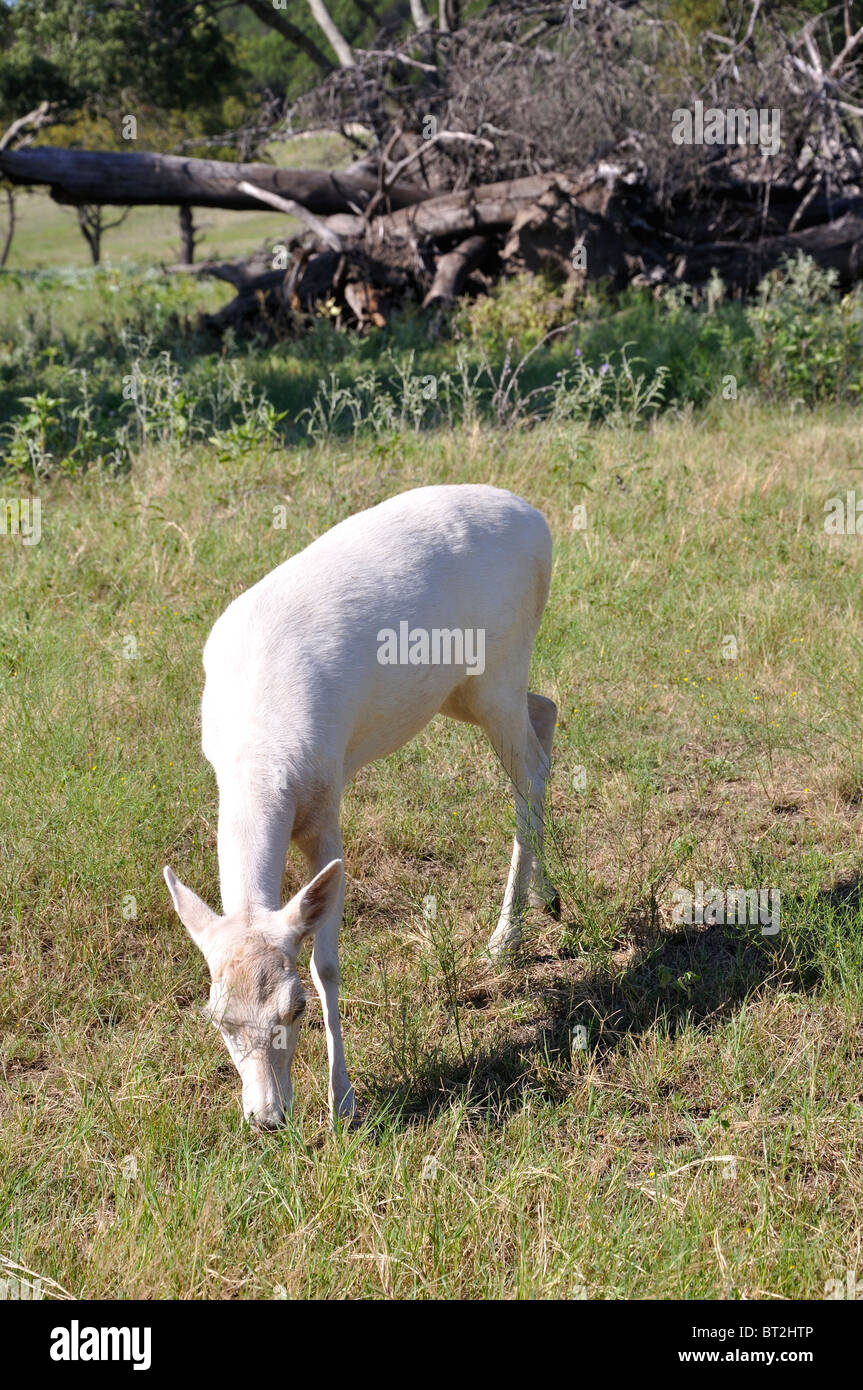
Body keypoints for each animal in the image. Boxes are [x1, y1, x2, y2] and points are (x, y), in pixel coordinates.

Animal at [163, 484, 559, 1130]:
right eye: (216, 1015)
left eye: (295, 1007)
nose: (267, 1117)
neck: (257, 751)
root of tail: (537, 519)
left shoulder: (326, 804)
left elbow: (326, 962)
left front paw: (343, 1104)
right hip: (460, 691)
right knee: (546, 712)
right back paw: (548, 898)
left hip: (499, 667)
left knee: (527, 774)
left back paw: (504, 940)